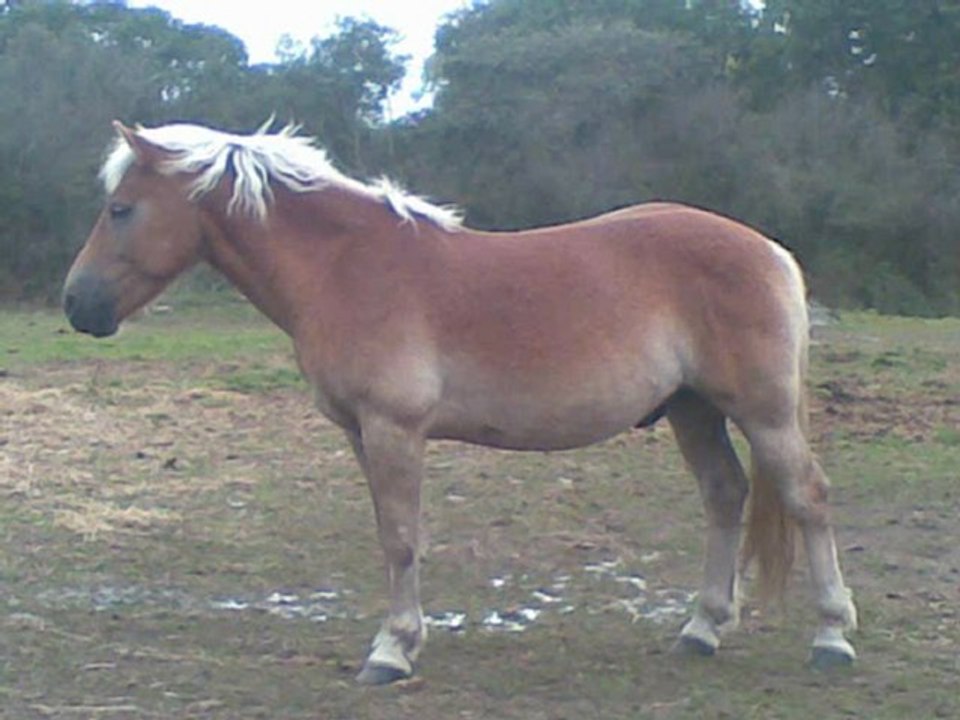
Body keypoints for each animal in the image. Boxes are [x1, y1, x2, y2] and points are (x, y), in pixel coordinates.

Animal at [63, 120, 858, 685]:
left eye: (120, 208)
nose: (78, 305)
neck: (345, 267)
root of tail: (769, 250)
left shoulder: (393, 428)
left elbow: (400, 537)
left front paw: (391, 651)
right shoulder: (361, 433)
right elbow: (391, 535)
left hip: (763, 412)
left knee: (809, 497)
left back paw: (831, 636)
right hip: (694, 409)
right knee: (725, 495)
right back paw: (701, 630)